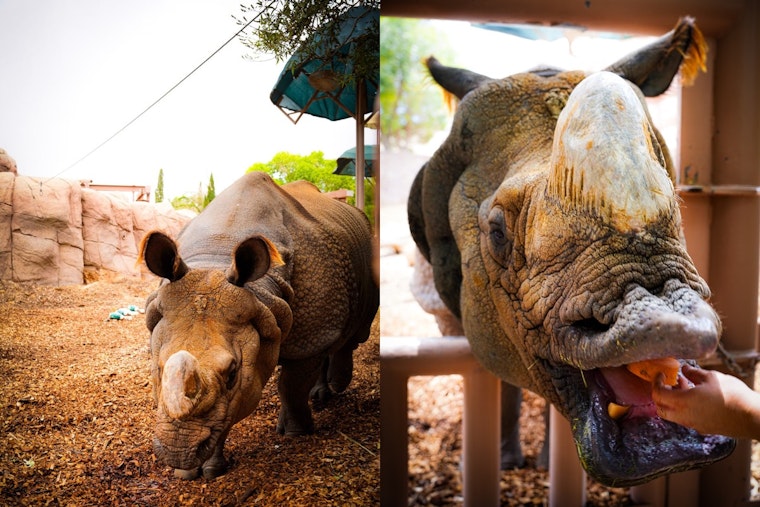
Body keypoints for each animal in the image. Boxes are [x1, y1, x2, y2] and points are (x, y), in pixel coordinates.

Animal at [139, 171, 378, 479]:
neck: (217, 255)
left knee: (347, 333)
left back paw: (334, 388)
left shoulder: (309, 336)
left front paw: (296, 434)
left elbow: (290, 385)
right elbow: (225, 411)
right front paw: (196, 471)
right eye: (157, 368)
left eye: (232, 373)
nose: (178, 452)